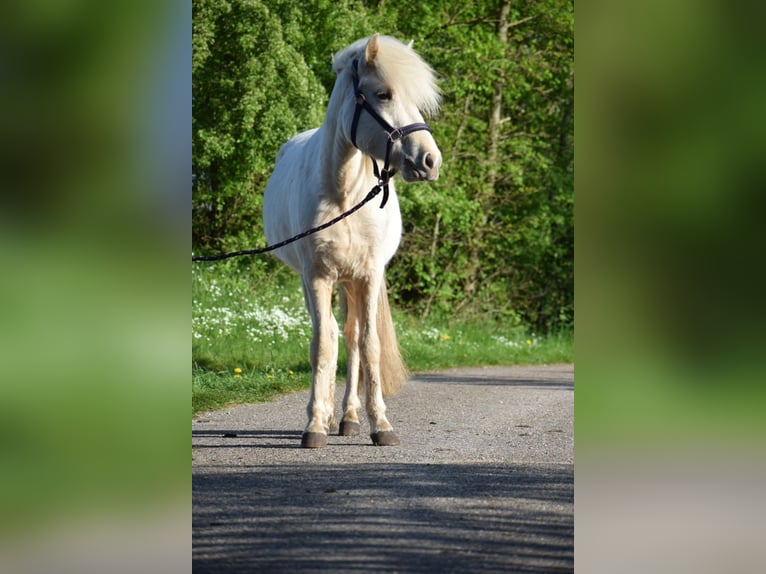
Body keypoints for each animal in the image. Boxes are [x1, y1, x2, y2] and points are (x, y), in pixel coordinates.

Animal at [264, 35, 444, 450]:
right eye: (383, 94)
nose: (431, 161)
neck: (344, 193)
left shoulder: (368, 275)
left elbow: (368, 344)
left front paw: (381, 425)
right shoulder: (317, 276)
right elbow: (322, 344)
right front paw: (315, 424)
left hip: (351, 283)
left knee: (351, 339)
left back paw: (348, 418)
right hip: (322, 281)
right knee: (332, 334)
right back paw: (330, 415)